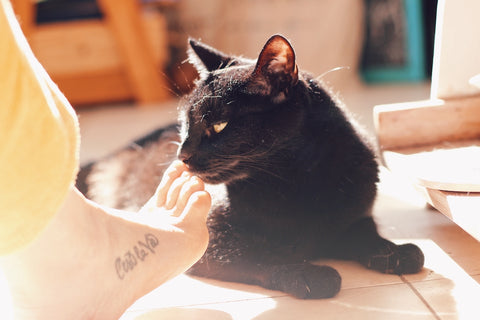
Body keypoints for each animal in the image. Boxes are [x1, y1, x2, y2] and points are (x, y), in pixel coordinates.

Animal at [79, 35, 424, 300]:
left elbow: (369, 236)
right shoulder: (213, 243)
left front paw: (397, 252)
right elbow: (261, 257)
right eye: (185, 124)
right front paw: (310, 275)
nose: (182, 155)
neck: (296, 182)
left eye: (218, 125)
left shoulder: (355, 217)